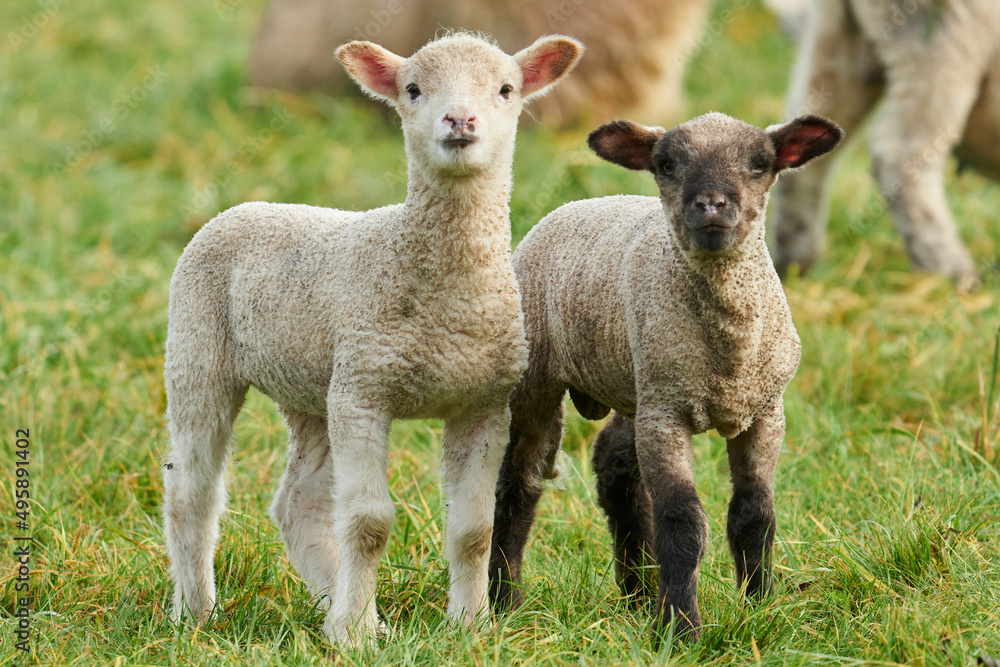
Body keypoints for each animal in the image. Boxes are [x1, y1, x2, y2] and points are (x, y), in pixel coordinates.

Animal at [163, 31, 584, 648]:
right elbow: (368, 524)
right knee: (192, 491)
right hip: (198, 350)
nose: (460, 119)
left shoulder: (483, 404)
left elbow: (474, 530)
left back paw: (330, 605)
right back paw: (197, 611)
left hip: (313, 386)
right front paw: (357, 634)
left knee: (298, 503)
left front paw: (470, 626)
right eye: (413, 89)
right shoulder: (365, 391)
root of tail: (247, 205)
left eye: (506, 89)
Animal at [488, 113, 840, 640]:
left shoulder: (764, 413)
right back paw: (503, 601)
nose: (711, 204)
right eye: (667, 164)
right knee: (519, 481)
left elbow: (755, 514)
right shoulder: (666, 414)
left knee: (616, 470)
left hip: (635, 384)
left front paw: (761, 608)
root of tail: (578, 205)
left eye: (761, 163)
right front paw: (680, 627)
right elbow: (682, 521)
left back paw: (636, 594)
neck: (728, 355)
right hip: (541, 380)